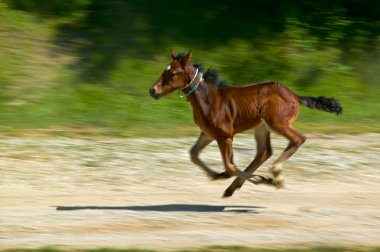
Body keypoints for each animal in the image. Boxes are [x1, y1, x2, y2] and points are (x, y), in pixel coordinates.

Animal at [148, 50, 342, 197]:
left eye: (172, 74)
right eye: (163, 72)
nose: (153, 90)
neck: (208, 98)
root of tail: (294, 95)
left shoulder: (225, 136)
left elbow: (230, 166)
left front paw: (263, 179)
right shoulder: (208, 134)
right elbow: (194, 154)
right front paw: (217, 175)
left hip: (276, 122)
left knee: (297, 139)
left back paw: (276, 175)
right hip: (261, 127)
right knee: (264, 152)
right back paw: (235, 187)